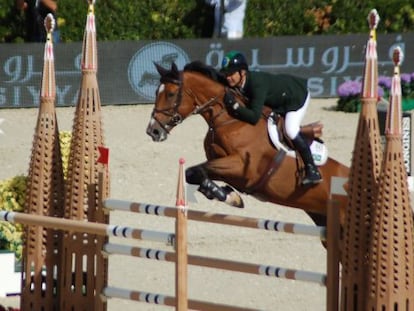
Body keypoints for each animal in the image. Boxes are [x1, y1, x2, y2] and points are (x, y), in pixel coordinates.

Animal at [146, 61, 350, 227]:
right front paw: (226, 195)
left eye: (171, 94)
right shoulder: (222, 166)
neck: (230, 121)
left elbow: (194, 171)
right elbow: (195, 173)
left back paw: (312, 175)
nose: (152, 131)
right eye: (156, 92)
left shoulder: (242, 167)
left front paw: (228, 196)